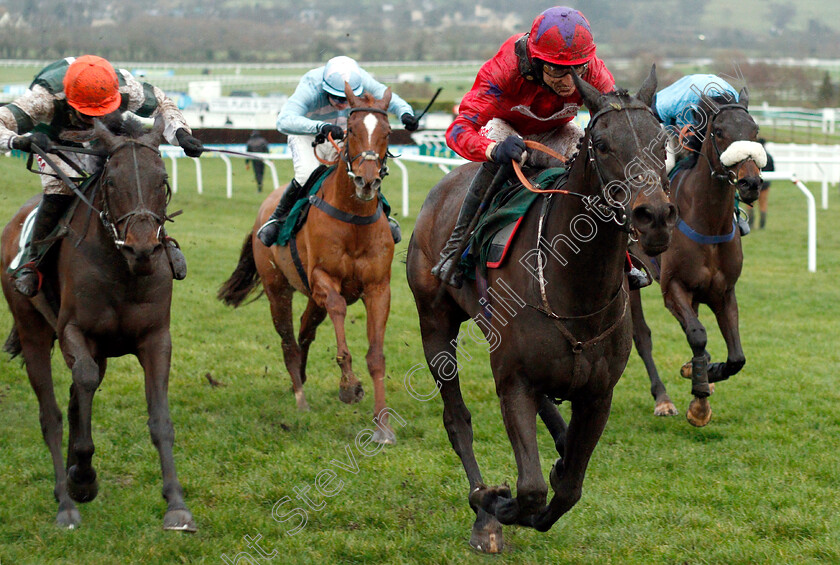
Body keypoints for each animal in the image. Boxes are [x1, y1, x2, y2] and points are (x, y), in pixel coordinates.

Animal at [0, 118, 194, 528]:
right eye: (112, 182)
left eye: (162, 180)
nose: (142, 248)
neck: (123, 270)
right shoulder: (73, 331)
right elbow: (83, 385)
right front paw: (83, 477)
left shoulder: (156, 338)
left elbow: (159, 418)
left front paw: (176, 503)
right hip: (33, 332)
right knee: (52, 415)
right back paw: (66, 500)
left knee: (76, 398)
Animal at [218, 86, 398, 442]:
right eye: (351, 130)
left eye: (387, 132)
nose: (367, 181)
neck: (354, 220)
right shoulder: (323, 279)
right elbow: (339, 308)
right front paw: (348, 386)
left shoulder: (377, 287)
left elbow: (376, 355)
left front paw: (382, 425)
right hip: (278, 289)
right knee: (289, 339)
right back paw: (300, 397)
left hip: (312, 299)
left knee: (304, 331)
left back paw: (298, 381)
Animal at [404, 67, 680, 552]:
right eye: (602, 144)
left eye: (660, 142)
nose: (655, 217)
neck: (577, 290)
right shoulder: (513, 382)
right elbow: (530, 489)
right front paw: (492, 501)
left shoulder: (598, 392)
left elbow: (568, 488)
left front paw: (559, 468)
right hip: (435, 324)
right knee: (457, 420)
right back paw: (484, 514)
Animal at [628, 89, 764, 424]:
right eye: (720, 132)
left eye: (754, 131)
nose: (751, 183)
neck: (709, 222)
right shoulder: (673, 287)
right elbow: (698, 335)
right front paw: (699, 399)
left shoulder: (723, 292)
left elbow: (736, 357)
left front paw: (704, 373)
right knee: (642, 335)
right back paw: (662, 398)